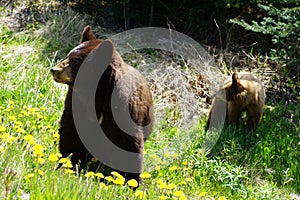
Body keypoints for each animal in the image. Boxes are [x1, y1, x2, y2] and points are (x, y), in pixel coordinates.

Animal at [50, 25, 154, 183]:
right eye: (68, 55)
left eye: (76, 61)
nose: (54, 70)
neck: (96, 94)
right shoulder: (76, 102)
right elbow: (70, 131)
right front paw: (66, 164)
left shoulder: (121, 108)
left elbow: (129, 142)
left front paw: (132, 181)